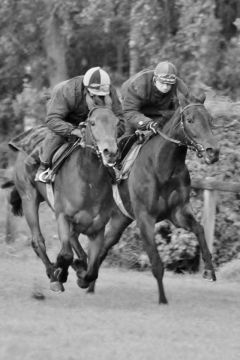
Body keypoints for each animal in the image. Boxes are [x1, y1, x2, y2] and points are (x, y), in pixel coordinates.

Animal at [6, 95, 120, 292]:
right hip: (29, 197)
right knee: (38, 240)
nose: (110, 152)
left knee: (76, 245)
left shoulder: (97, 228)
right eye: (92, 122)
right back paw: (53, 273)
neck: (89, 184)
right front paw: (60, 272)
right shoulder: (63, 217)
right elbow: (65, 254)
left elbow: (92, 269)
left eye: (116, 123)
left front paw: (81, 274)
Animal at [87, 93, 219, 304]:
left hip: (120, 219)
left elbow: (199, 229)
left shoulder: (178, 212)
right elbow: (156, 262)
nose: (213, 151)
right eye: (190, 120)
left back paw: (89, 285)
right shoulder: (145, 218)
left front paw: (209, 270)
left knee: (104, 247)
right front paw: (163, 300)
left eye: (210, 119)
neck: (163, 166)